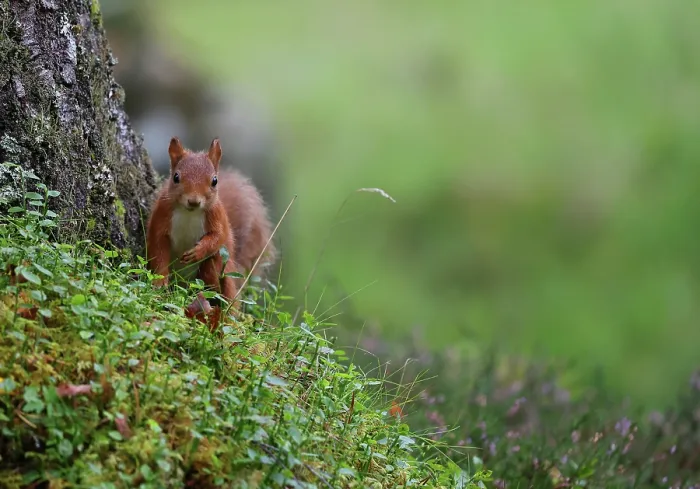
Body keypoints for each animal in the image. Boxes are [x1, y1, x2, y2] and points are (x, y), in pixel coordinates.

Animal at [145, 137, 276, 320]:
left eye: (215, 181)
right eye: (176, 177)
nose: (193, 201)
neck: (190, 213)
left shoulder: (217, 216)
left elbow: (219, 236)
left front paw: (198, 251)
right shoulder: (161, 215)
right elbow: (158, 250)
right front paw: (159, 282)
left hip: (220, 270)